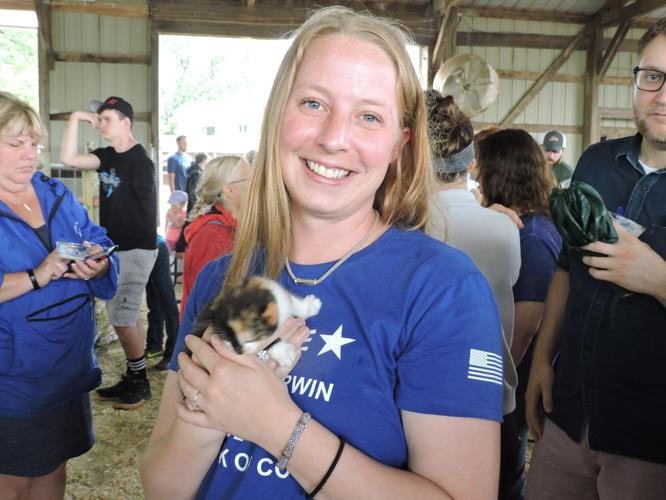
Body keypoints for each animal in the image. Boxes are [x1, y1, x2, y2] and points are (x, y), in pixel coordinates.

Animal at [187, 276, 322, 366]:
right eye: (226, 338)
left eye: (249, 340)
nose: (239, 352)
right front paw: (284, 352)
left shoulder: (279, 297)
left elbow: (292, 303)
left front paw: (309, 306)